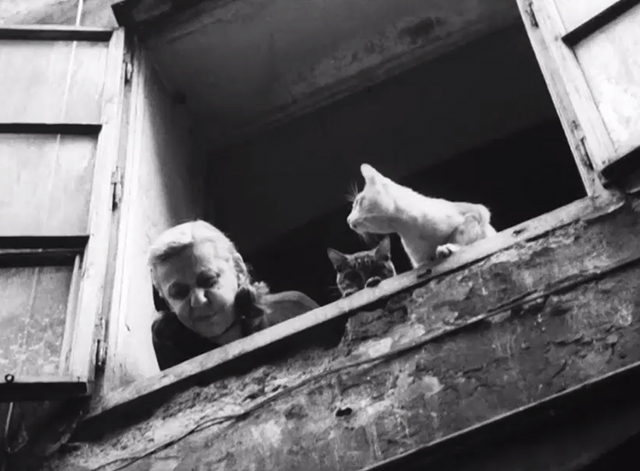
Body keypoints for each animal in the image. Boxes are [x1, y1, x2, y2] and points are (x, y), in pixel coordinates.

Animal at [348, 165, 498, 270]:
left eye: (358, 202)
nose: (347, 220)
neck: (412, 228)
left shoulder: (478, 211)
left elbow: (461, 230)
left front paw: (449, 247)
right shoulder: (420, 261)